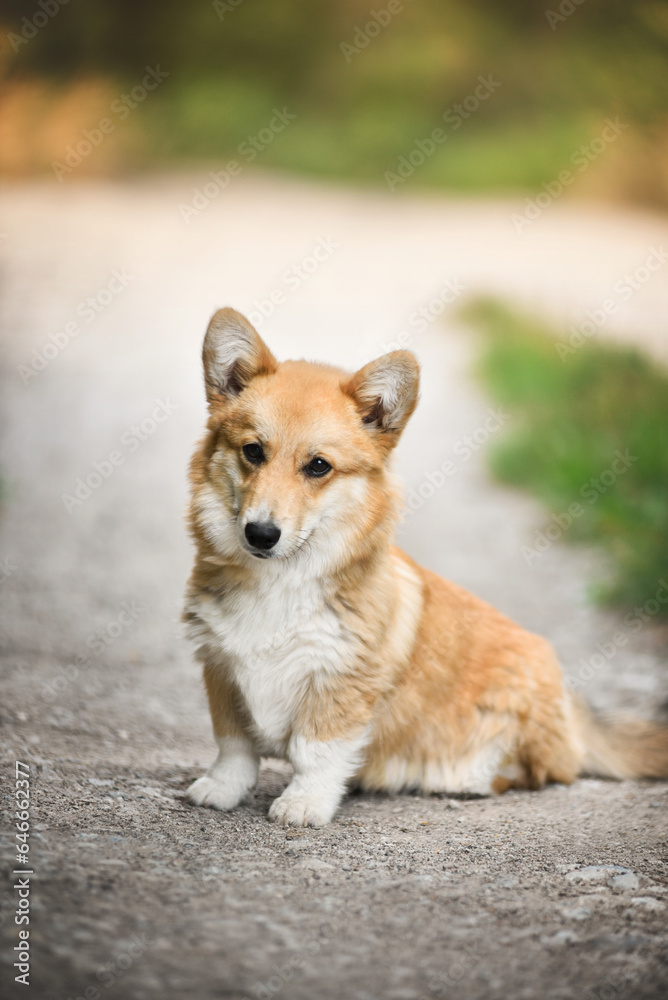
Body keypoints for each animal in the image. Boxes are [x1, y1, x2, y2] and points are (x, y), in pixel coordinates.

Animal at [183, 308, 668, 824]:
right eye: (252, 451)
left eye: (318, 466)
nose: (260, 534)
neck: (281, 580)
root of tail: (572, 705)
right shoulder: (221, 670)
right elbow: (233, 746)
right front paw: (221, 789)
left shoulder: (342, 685)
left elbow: (316, 752)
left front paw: (303, 804)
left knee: (546, 769)